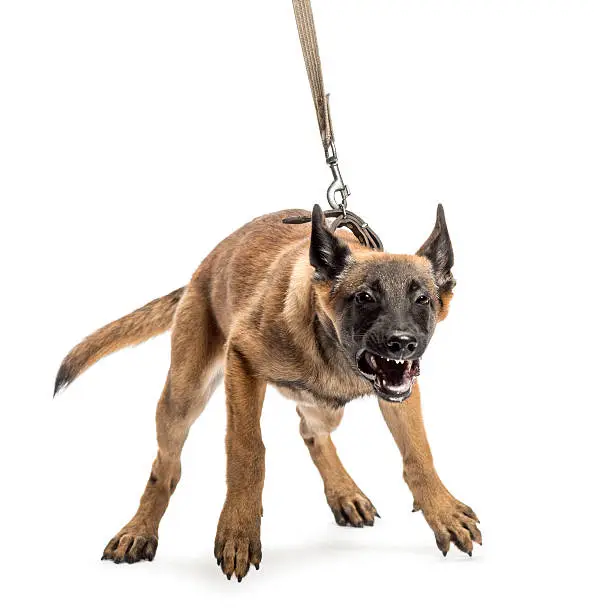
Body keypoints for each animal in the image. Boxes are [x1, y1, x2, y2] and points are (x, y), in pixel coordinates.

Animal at [55, 204, 478, 580]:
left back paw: (343, 492)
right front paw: (239, 529)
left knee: (310, 430)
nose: (402, 343)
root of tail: (201, 271)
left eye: (422, 299)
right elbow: (247, 450)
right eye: (364, 297)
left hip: (326, 407)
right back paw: (140, 530)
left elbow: (418, 453)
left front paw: (442, 511)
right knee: (166, 466)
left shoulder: (402, 389)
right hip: (184, 395)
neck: (328, 344)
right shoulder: (242, 362)